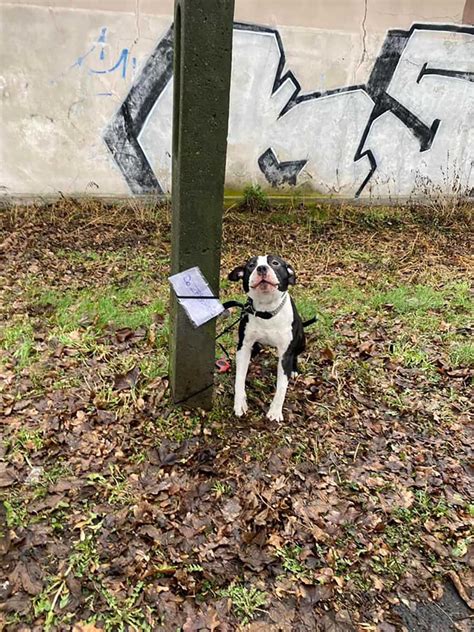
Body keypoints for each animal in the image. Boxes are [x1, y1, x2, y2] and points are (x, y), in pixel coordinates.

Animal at [228, 254, 306, 422]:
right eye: (251, 265)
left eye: (275, 263)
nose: (261, 268)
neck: (267, 311)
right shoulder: (243, 347)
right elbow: (239, 378)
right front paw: (240, 403)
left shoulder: (285, 355)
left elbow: (282, 386)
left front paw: (275, 411)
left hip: (302, 341)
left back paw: (294, 370)